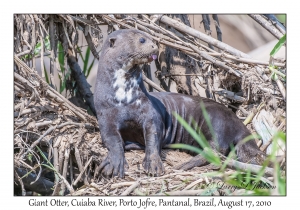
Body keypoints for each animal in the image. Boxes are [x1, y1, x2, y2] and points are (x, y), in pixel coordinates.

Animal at [94, 28, 264, 178]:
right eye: (142, 40)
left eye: (149, 37)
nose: (155, 46)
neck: (125, 98)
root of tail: (241, 126)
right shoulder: (104, 114)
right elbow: (111, 138)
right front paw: (114, 161)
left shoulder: (150, 112)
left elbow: (154, 134)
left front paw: (153, 164)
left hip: (216, 120)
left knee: (217, 148)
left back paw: (184, 165)